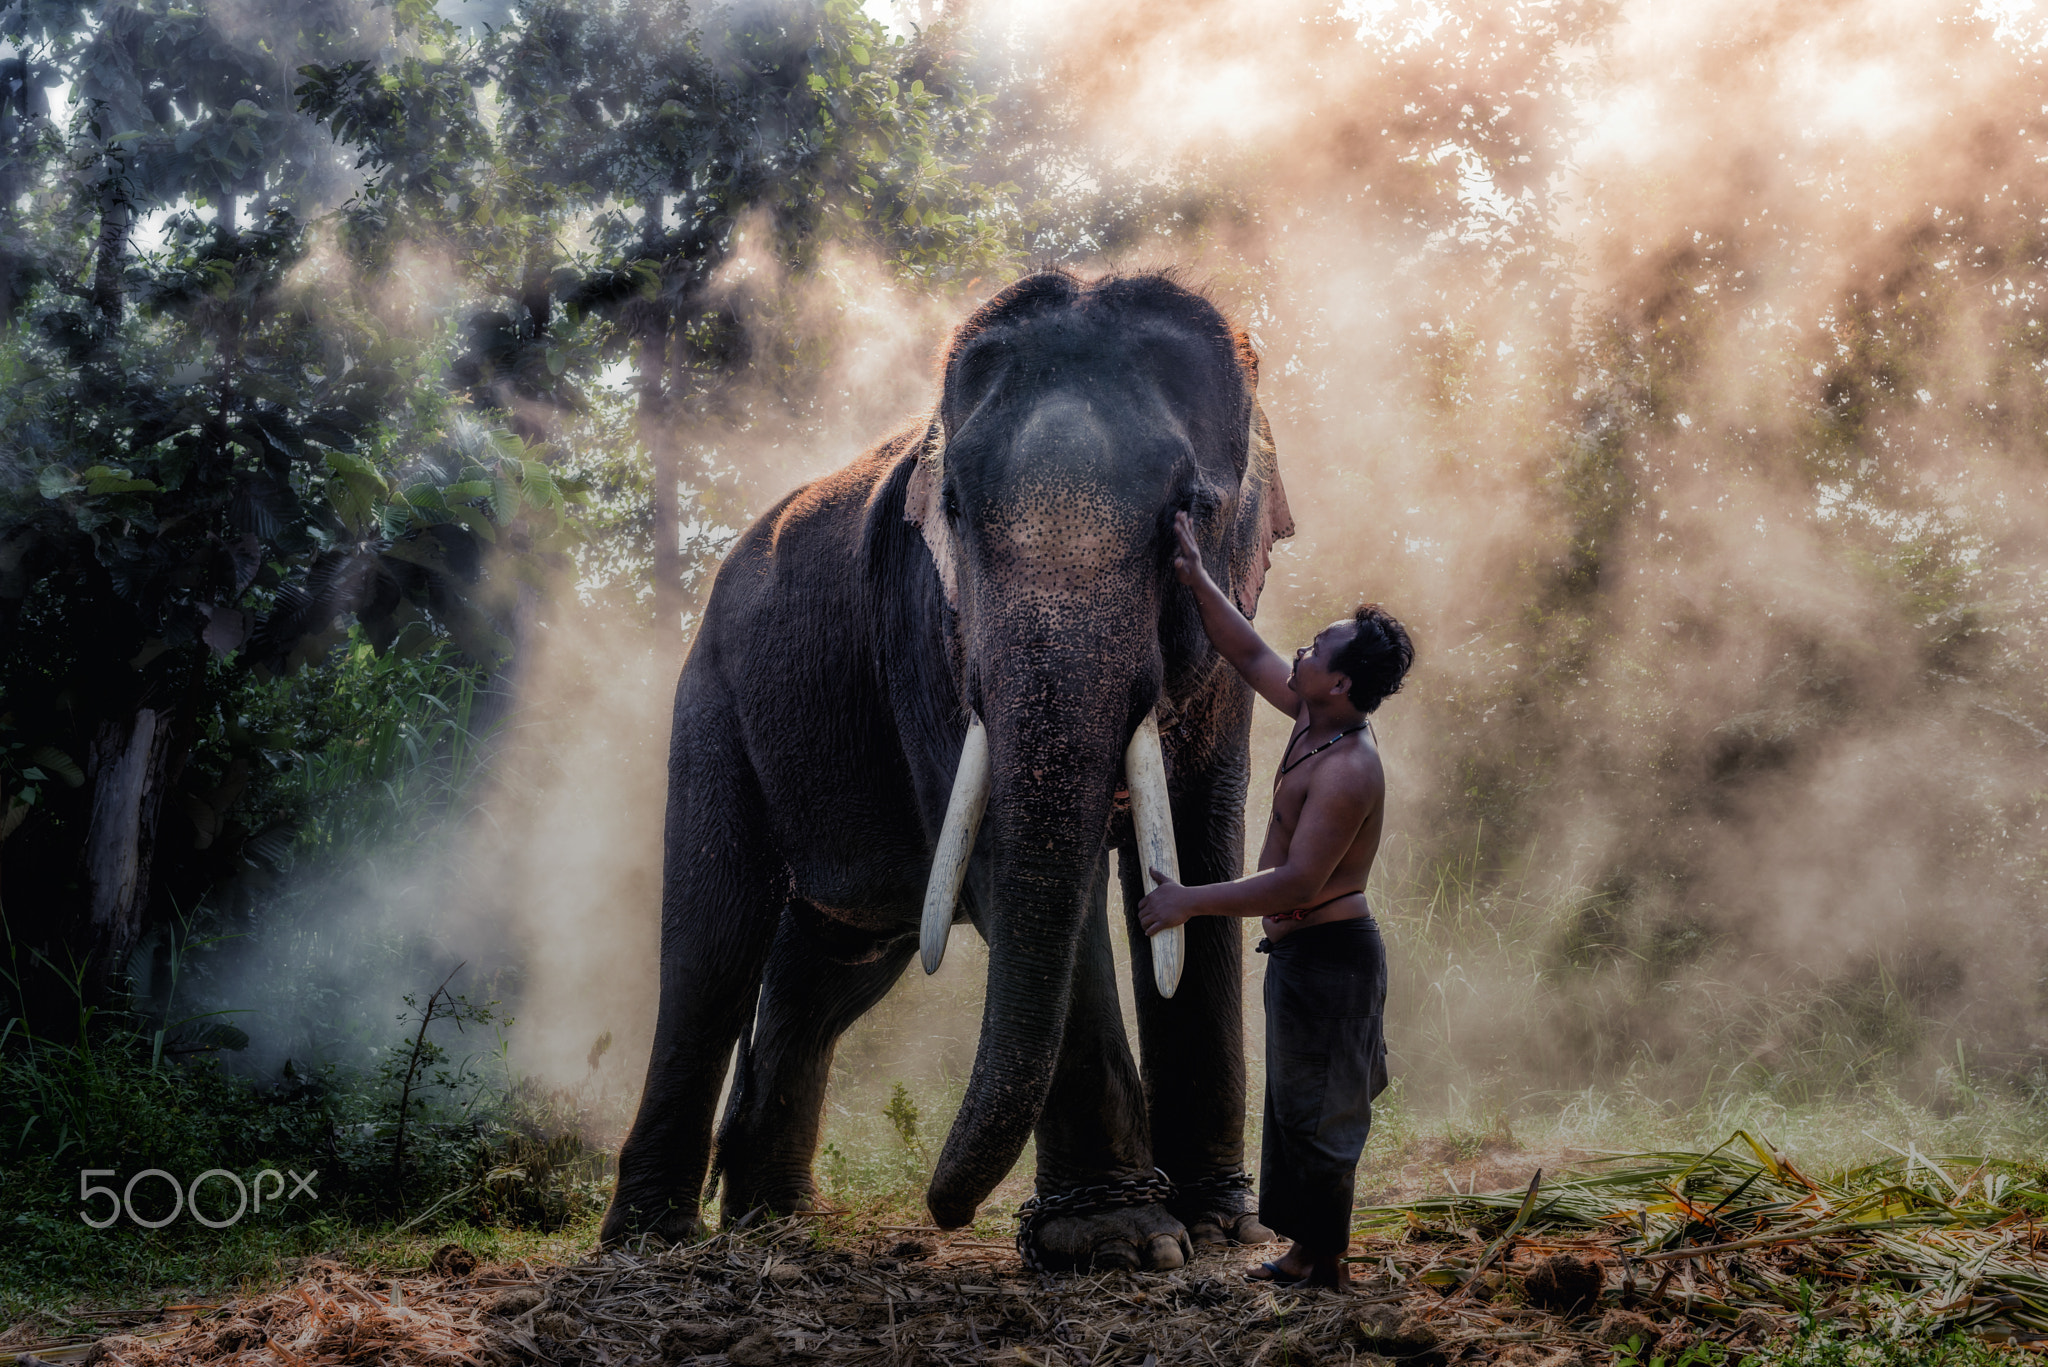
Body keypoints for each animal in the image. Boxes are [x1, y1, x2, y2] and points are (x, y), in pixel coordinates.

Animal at [593, 266, 1294, 1270]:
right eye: (955, 510)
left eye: (1191, 508)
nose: (942, 1210)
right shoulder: (926, 628)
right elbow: (1008, 870)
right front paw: (1120, 1242)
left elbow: (1204, 855)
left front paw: (1224, 1229)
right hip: (713, 703)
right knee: (712, 943)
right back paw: (652, 1241)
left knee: (831, 963)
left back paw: (777, 1221)